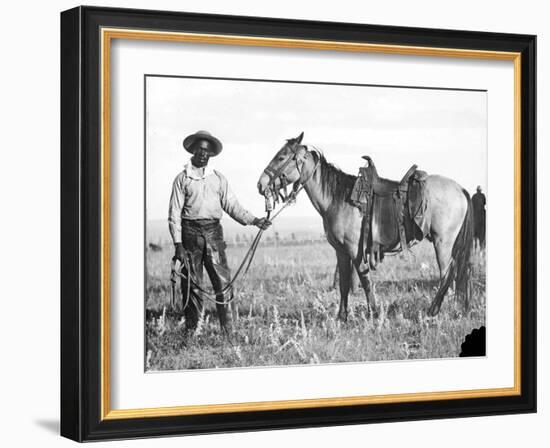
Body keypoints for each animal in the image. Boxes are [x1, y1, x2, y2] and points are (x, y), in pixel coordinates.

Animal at [258, 131, 474, 320]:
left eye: (281, 157)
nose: (261, 184)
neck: (337, 198)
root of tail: (461, 189)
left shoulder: (355, 250)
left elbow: (365, 280)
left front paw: (374, 314)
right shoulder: (341, 251)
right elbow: (344, 283)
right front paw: (342, 318)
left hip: (442, 242)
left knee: (447, 274)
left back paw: (432, 311)